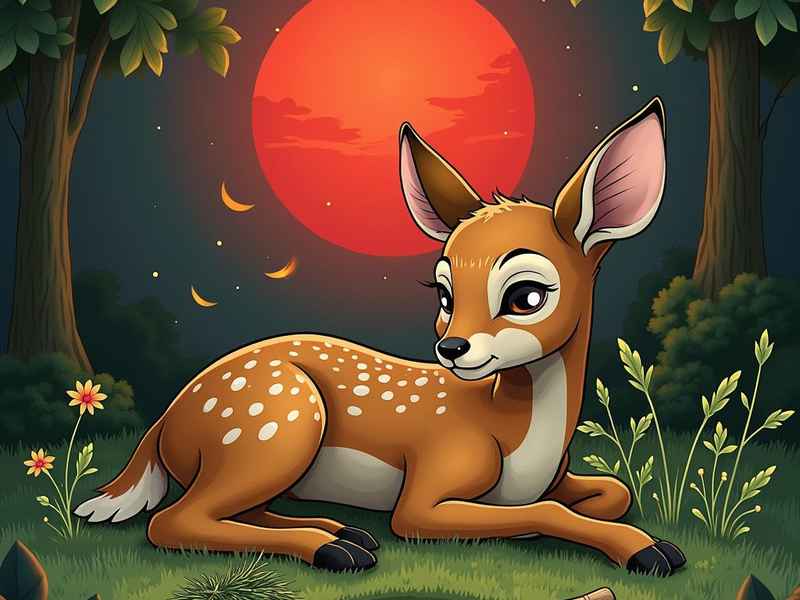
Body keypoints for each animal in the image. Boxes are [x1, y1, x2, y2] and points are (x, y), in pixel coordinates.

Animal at [76, 97, 686, 577]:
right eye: (443, 293)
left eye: (527, 296)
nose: (452, 350)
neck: (517, 434)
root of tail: (166, 420)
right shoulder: (425, 491)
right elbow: (542, 513)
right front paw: (649, 551)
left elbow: (616, 492)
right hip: (279, 423)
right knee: (172, 522)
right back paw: (335, 549)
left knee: (226, 511)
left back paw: (342, 531)